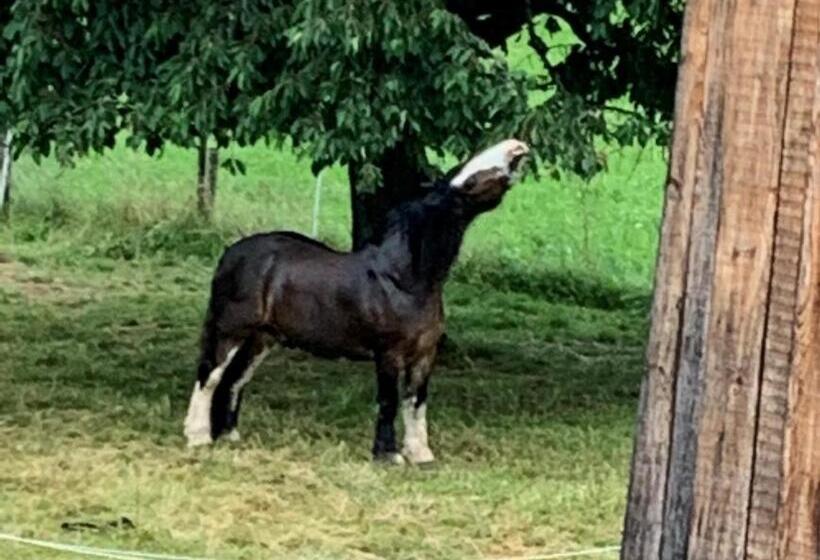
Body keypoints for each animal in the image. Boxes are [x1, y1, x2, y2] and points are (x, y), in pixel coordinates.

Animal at [183, 139, 530, 464]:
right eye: (468, 177)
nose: (517, 147)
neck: (404, 280)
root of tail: (231, 253)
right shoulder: (389, 353)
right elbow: (389, 401)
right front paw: (388, 455)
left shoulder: (424, 354)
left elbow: (416, 402)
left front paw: (420, 454)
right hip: (231, 331)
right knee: (210, 376)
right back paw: (198, 436)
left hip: (262, 338)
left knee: (235, 380)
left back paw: (229, 436)